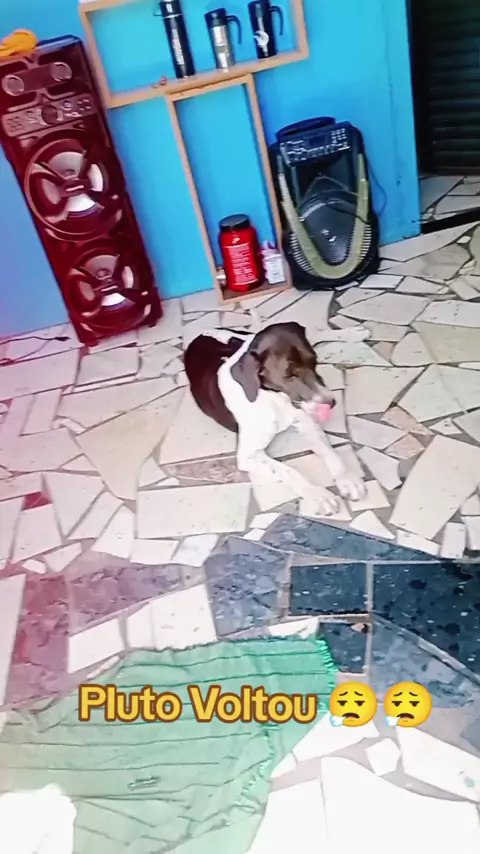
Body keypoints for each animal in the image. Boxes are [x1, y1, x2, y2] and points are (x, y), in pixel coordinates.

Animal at [184, 321, 368, 515]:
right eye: (289, 375)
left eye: (314, 362)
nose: (331, 403)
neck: (276, 398)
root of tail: (200, 334)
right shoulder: (248, 456)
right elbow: (288, 471)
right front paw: (317, 494)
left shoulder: (308, 424)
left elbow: (330, 453)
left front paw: (347, 478)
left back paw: (352, 333)